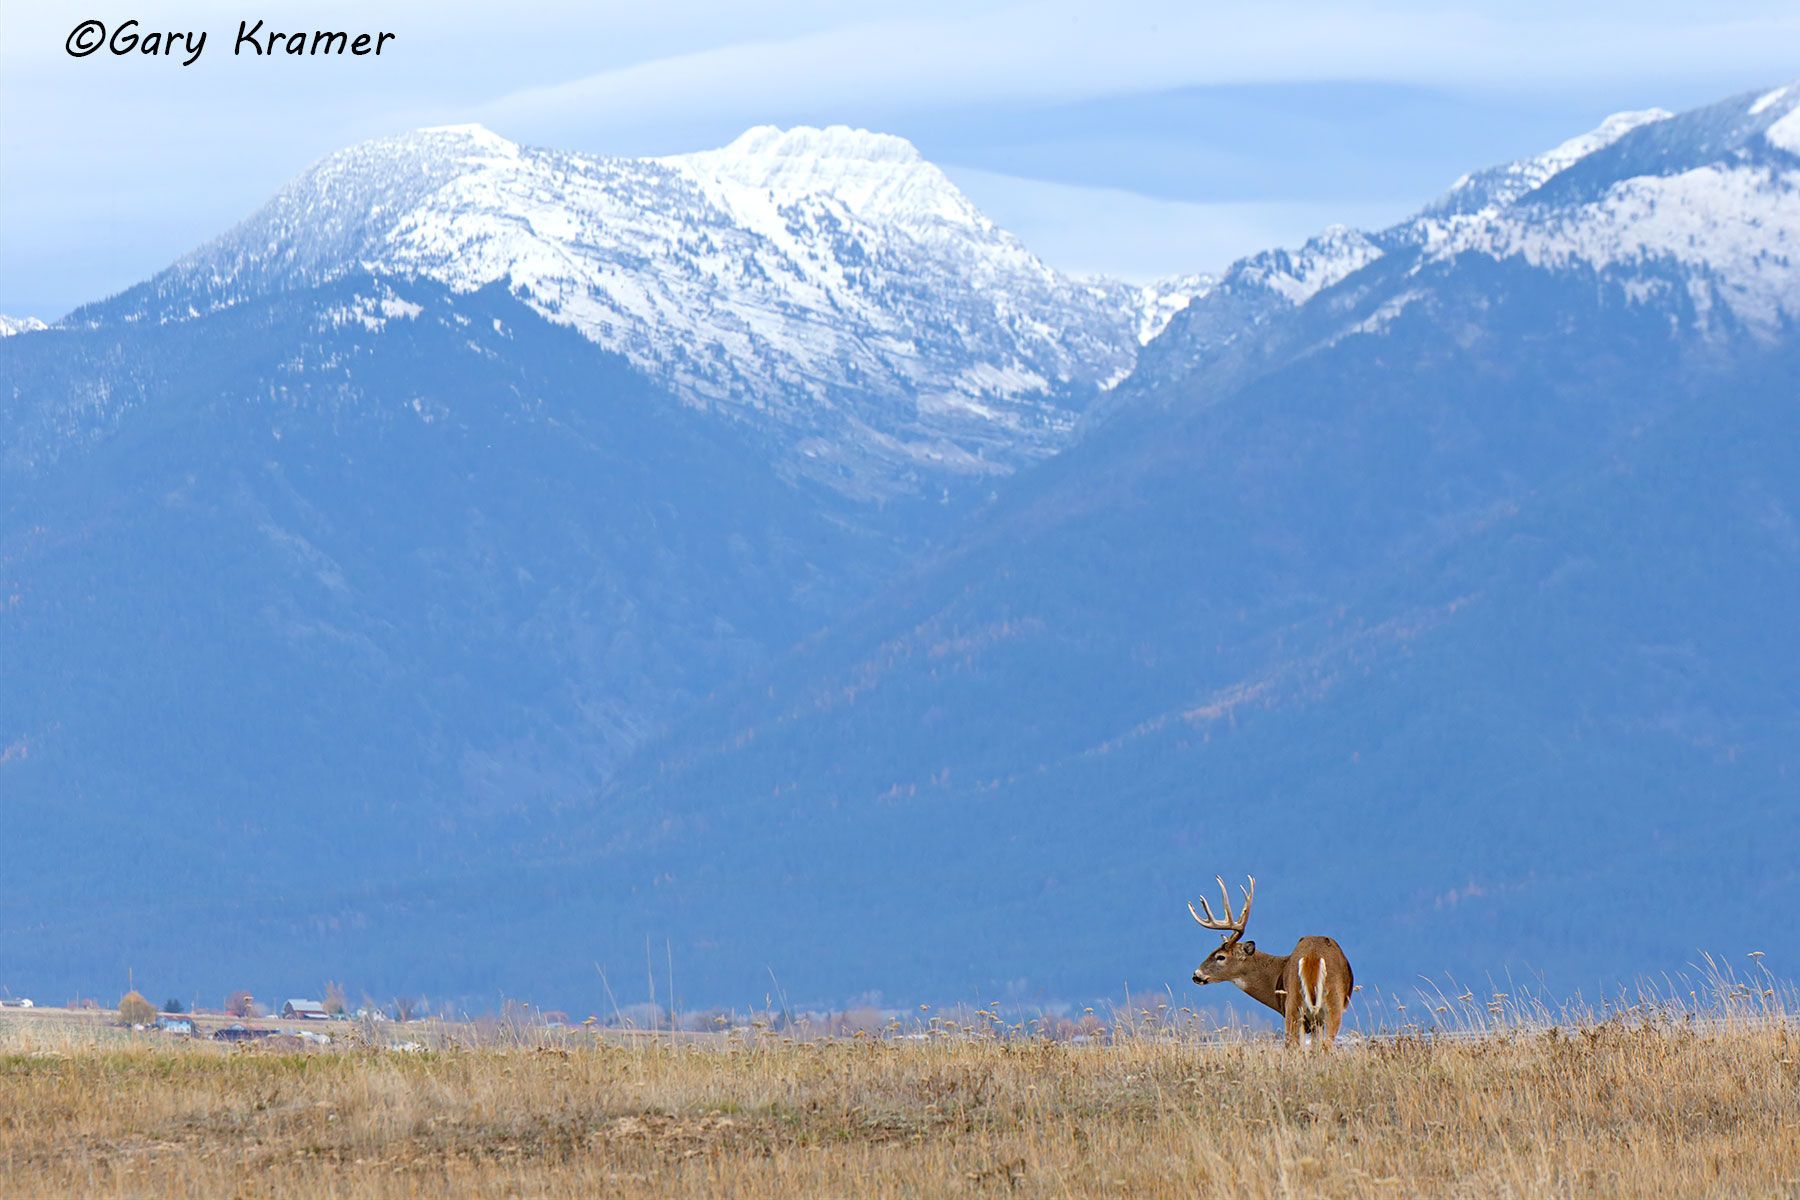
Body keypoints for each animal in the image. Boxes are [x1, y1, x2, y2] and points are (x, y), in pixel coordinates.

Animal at [1187, 875, 1353, 1050]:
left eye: (1220, 956)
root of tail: (1312, 957)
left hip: (1298, 1003)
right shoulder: (1315, 1021)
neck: (1279, 970)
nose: (1196, 974)